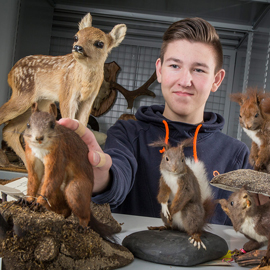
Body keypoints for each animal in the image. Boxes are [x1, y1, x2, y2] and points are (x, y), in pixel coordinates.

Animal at [20, 103, 114, 240]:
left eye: (52, 125)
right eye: (28, 124)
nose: (39, 138)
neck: (41, 149)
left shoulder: (59, 155)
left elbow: (54, 176)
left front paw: (39, 202)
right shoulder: (31, 156)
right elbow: (33, 179)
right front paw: (27, 200)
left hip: (76, 190)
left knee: (83, 212)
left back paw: (82, 225)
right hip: (57, 195)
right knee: (66, 210)